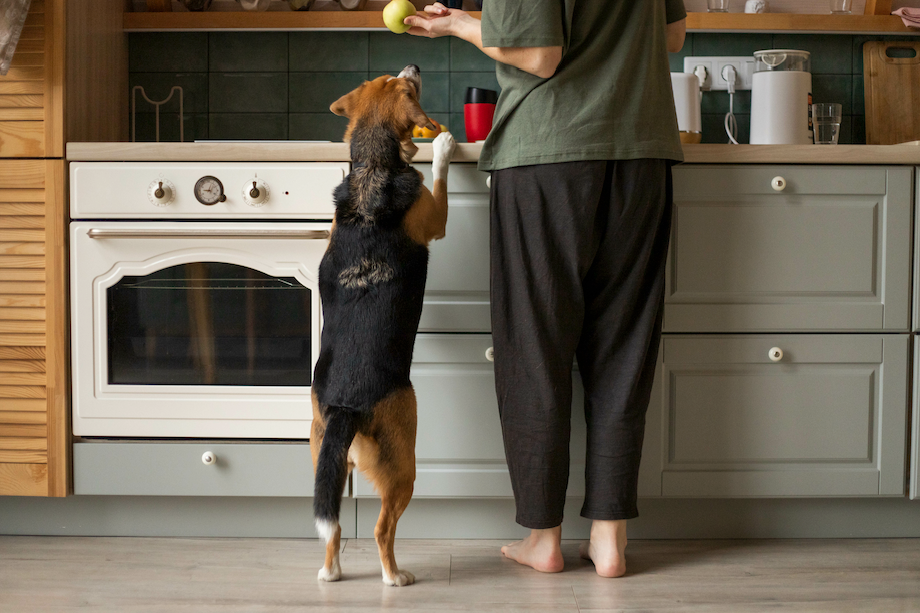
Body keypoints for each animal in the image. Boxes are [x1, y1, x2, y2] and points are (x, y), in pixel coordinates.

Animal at [310, 64, 456, 584]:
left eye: (385, 77)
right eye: (406, 86)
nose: (412, 66)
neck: (372, 167)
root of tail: (347, 406)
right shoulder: (436, 218)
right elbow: (439, 178)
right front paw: (443, 146)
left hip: (321, 455)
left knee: (332, 528)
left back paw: (331, 573)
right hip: (404, 467)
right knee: (381, 529)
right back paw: (395, 577)